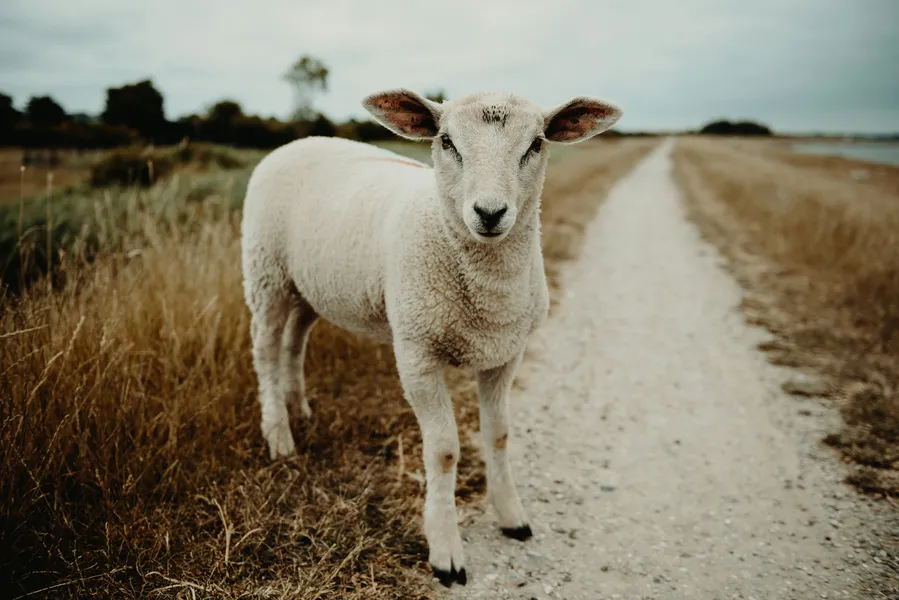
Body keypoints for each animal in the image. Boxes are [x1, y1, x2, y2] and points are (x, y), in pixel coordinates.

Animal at [240, 89, 621, 587]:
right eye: (446, 141)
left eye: (536, 143)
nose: (489, 213)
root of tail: (299, 141)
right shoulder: (417, 354)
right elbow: (442, 452)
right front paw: (445, 552)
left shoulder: (506, 354)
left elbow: (499, 434)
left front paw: (511, 516)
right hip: (265, 271)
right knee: (265, 348)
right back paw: (279, 434)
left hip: (309, 285)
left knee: (295, 339)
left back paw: (298, 408)